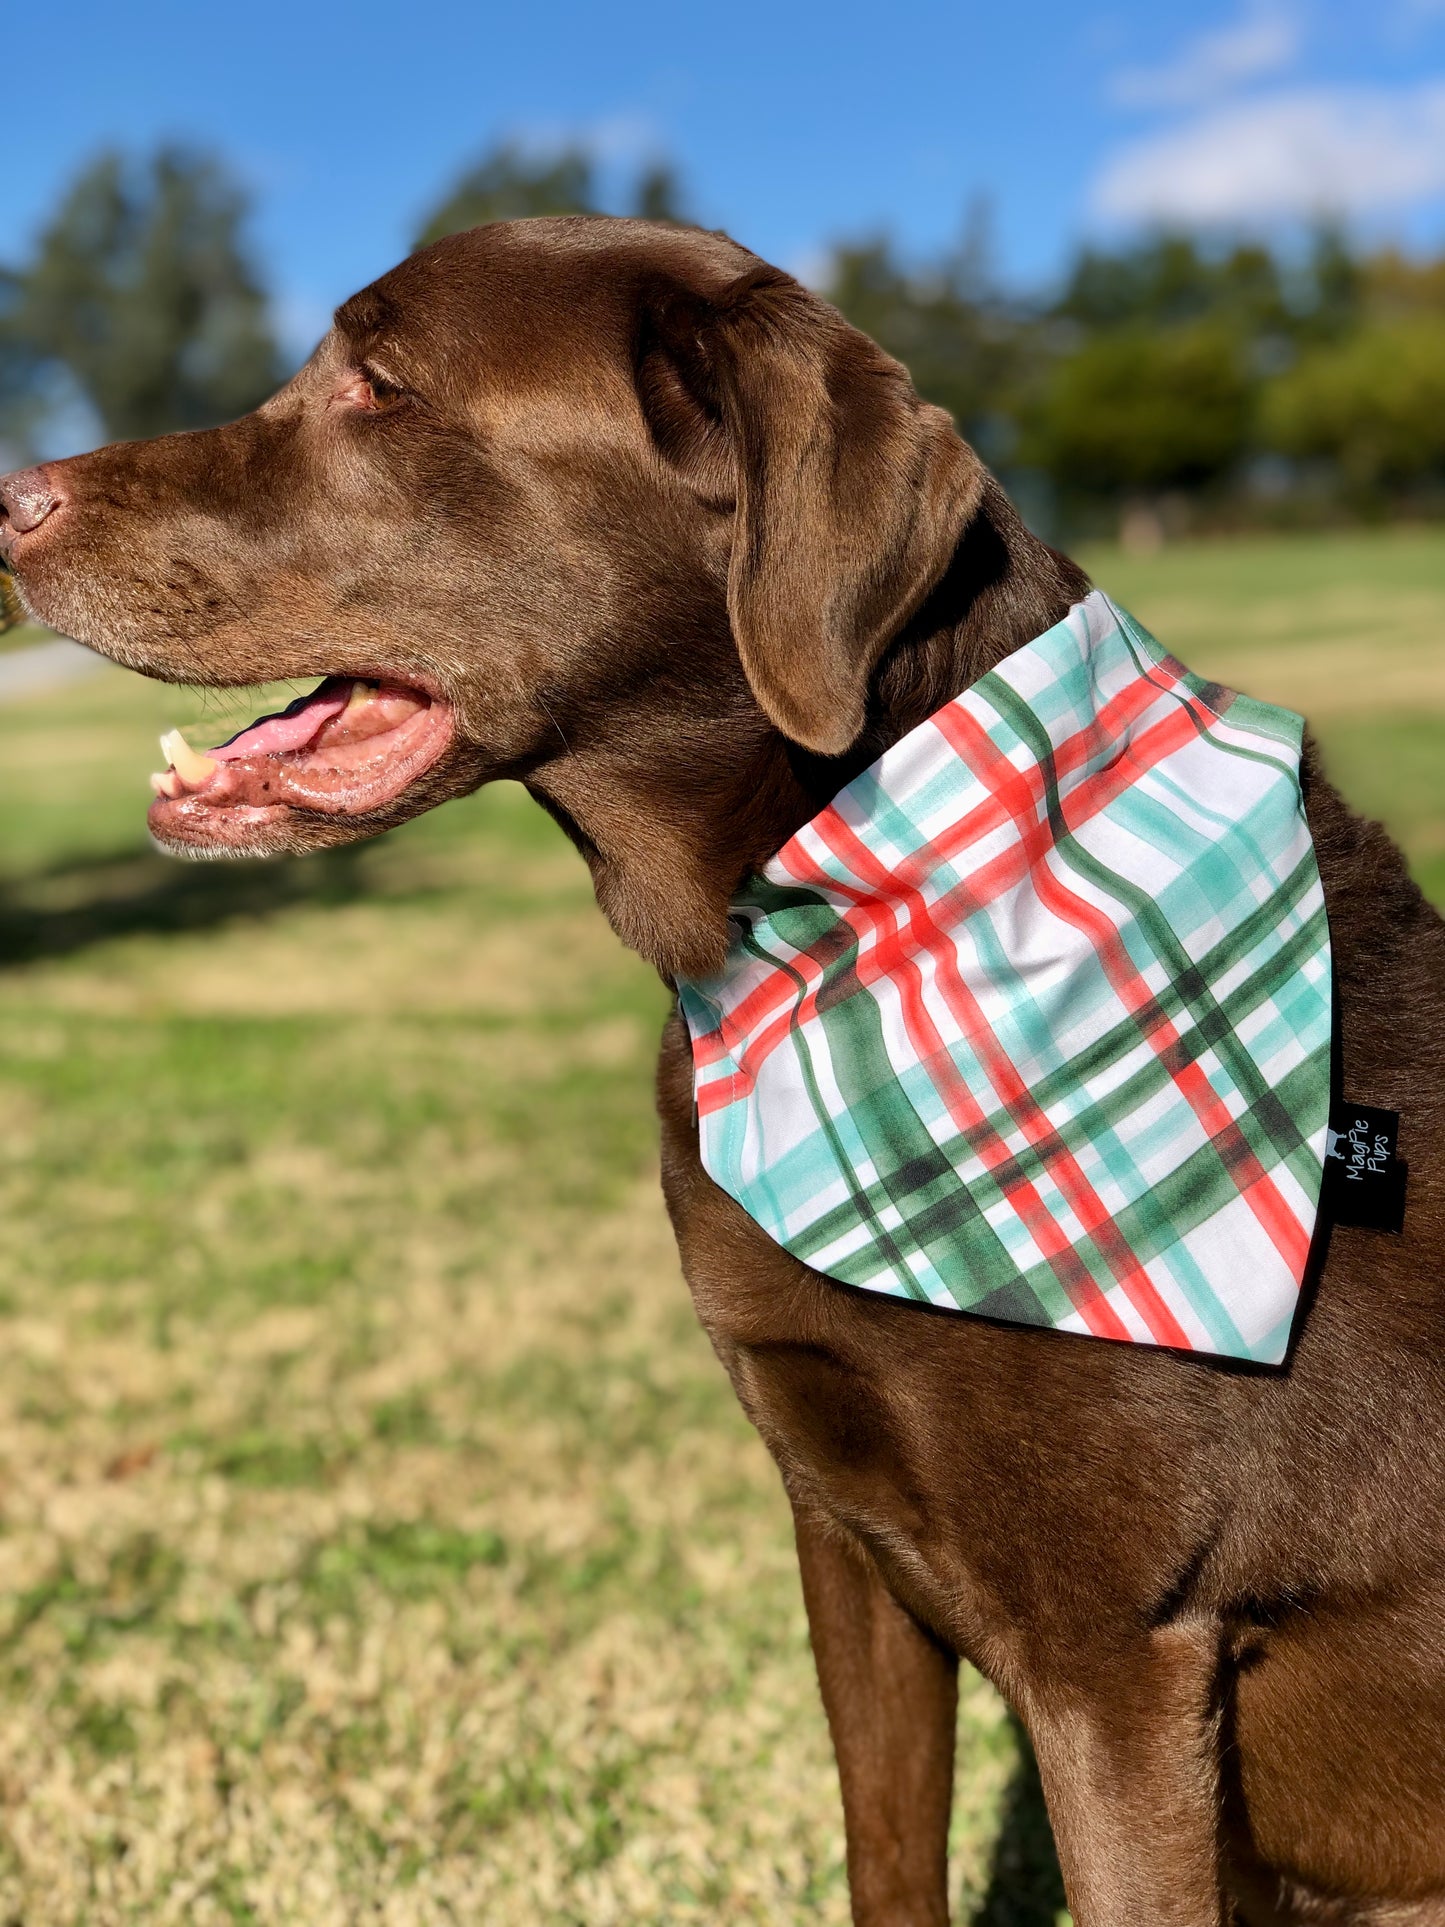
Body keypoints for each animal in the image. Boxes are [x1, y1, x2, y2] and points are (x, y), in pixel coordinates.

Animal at [2, 218, 1445, 1919]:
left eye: (382, 382)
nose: (8, 499)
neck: (811, 937)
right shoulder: (844, 1539)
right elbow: (885, 1850)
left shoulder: (1118, 1654)